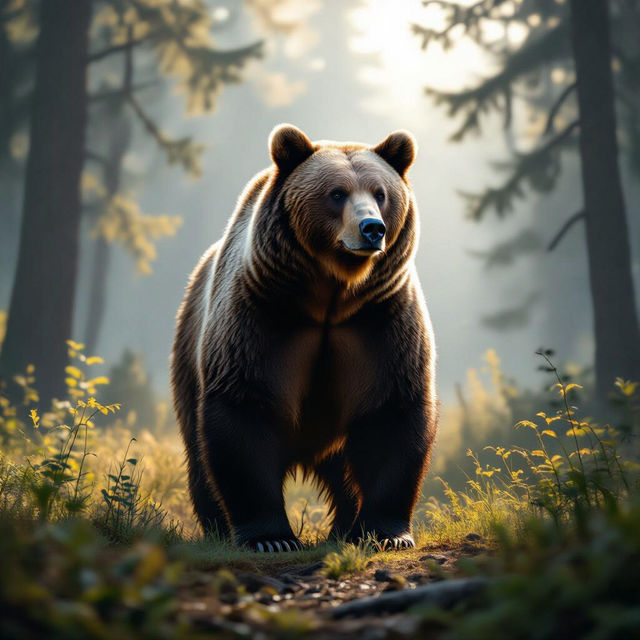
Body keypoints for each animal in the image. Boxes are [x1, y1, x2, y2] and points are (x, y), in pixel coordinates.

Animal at [170, 124, 437, 552]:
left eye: (380, 193)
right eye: (337, 193)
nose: (372, 228)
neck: (331, 297)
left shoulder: (380, 321)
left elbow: (392, 413)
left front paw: (385, 534)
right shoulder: (264, 315)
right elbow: (245, 408)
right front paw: (271, 538)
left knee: (343, 470)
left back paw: (344, 526)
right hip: (188, 353)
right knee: (199, 454)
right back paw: (217, 527)